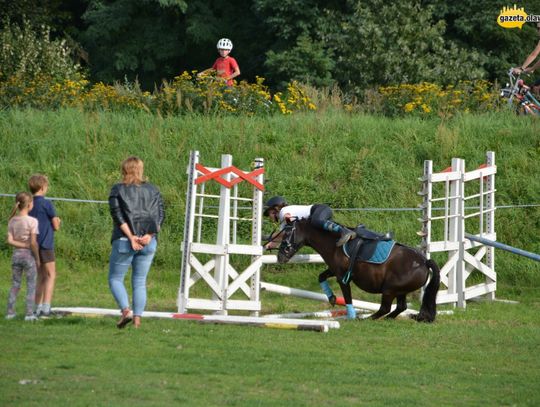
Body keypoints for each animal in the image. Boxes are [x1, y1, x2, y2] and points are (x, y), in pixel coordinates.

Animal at [278, 218, 438, 324]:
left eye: (286, 234)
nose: (280, 257)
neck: (335, 243)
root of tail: (424, 262)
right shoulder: (334, 270)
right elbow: (321, 276)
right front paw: (331, 297)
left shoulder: (342, 277)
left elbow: (347, 297)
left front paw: (351, 315)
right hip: (400, 291)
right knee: (400, 307)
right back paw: (385, 319)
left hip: (389, 290)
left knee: (386, 308)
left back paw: (368, 318)